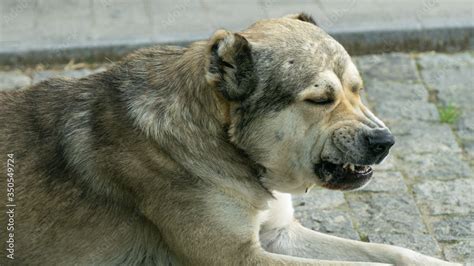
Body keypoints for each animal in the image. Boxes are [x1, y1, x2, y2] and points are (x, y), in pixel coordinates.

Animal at [0, 14, 460, 264]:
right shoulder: (237, 257)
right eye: (319, 99)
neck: (225, 145)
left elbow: (392, 253)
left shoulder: (279, 234)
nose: (386, 141)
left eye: (357, 90)